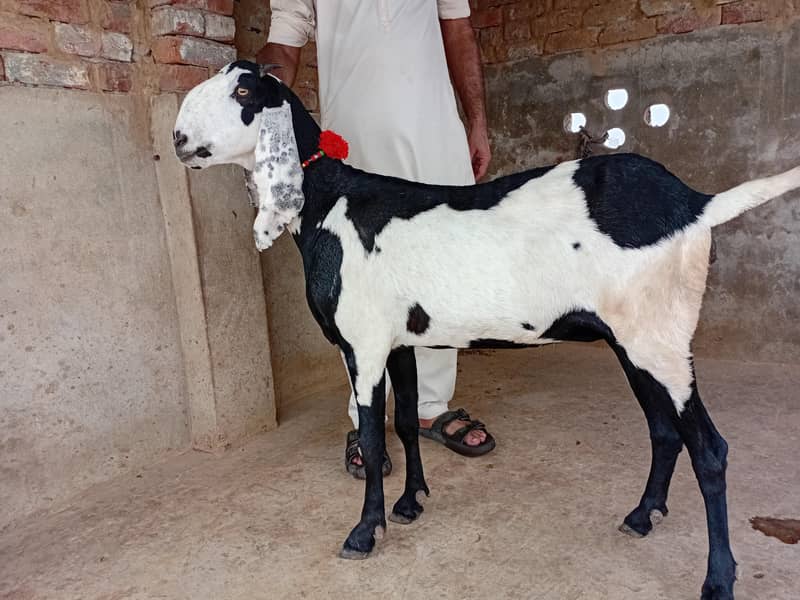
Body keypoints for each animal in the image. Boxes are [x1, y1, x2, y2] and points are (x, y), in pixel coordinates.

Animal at [173, 61, 800, 600]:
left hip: (658, 341)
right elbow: (406, 423)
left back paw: (717, 580)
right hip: (636, 342)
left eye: (244, 91)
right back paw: (642, 516)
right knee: (665, 432)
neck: (330, 200)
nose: (178, 139)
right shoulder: (400, 341)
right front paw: (411, 503)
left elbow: (373, 439)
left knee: (710, 450)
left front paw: (365, 532)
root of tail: (695, 202)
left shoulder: (364, 344)